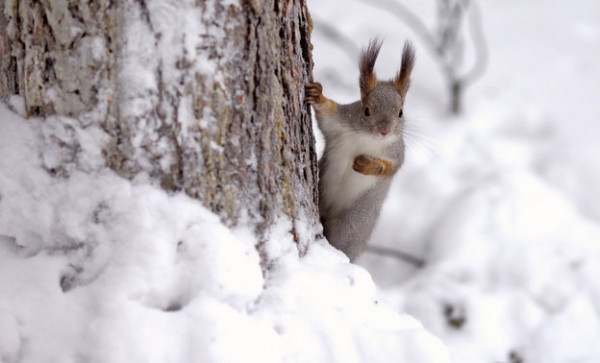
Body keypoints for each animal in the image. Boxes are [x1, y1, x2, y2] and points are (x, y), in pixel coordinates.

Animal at [308, 38, 414, 264]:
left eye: (400, 113)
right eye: (366, 110)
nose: (384, 130)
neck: (368, 138)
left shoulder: (397, 153)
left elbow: (390, 168)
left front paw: (366, 164)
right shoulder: (338, 124)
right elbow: (326, 114)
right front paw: (317, 95)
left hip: (353, 224)